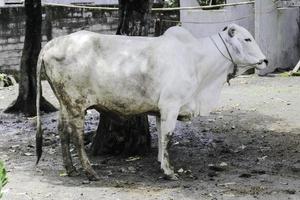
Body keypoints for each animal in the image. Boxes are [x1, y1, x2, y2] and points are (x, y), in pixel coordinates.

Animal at [35, 23, 268, 181]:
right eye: (247, 39)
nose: (265, 60)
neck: (197, 60)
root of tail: (52, 43)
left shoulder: (160, 110)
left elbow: (162, 137)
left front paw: (160, 163)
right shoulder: (171, 105)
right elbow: (168, 137)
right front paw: (169, 171)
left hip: (64, 103)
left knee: (62, 131)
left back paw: (71, 169)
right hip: (76, 104)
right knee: (75, 135)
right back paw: (89, 171)